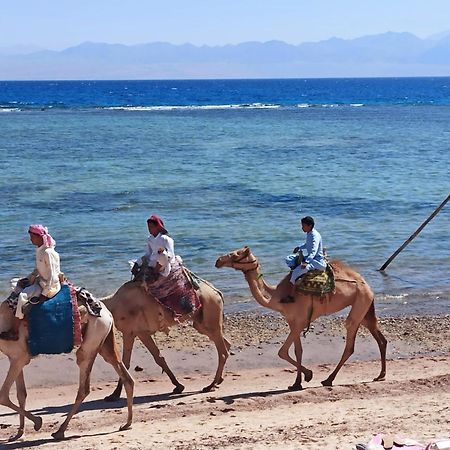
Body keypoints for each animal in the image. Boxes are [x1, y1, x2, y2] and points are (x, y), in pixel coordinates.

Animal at [0, 290, 134, 442]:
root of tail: (107, 313)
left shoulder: (19, 358)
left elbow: (3, 395)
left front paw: (38, 422)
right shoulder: (16, 358)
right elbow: (21, 394)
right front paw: (18, 433)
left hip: (89, 344)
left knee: (84, 388)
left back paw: (60, 431)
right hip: (105, 342)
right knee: (125, 376)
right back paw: (127, 424)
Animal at [93, 276, 230, 402]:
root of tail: (217, 292)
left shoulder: (140, 332)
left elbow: (157, 358)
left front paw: (179, 386)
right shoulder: (130, 333)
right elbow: (126, 362)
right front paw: (114, 395)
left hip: (210, 315)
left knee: (222, 352)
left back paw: (210, 386)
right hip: (201, 323)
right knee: (225, 344)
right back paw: (219, 381)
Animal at [214, 246, 386, 390]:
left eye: (236, 254)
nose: (218, 261)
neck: (278, 296)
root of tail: (367, 286)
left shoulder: (301, 321)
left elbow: (282, 351)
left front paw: (308, 375)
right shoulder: (292, 321)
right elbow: (298, 351)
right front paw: (297, 383)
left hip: (360, 302)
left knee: (350, 340)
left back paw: (328, 380)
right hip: (365, 309)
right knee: (380, 338)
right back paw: (380, 375)